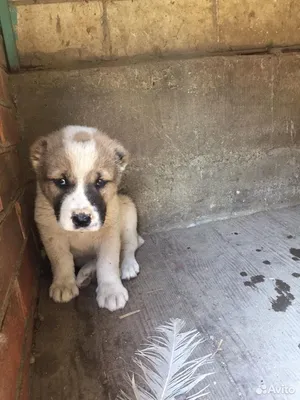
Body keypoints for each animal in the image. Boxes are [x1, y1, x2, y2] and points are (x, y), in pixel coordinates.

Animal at [30, 126, 143, 310]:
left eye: (100, 182)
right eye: (61, 181)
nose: (82, 219)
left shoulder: (109, 233)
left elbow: (107, 263)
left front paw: (111, 291)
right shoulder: (51, 235)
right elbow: (61, 260)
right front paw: (63, 284)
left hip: (127, 213)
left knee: (130, 246)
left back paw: (127, 267)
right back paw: (85, 274)